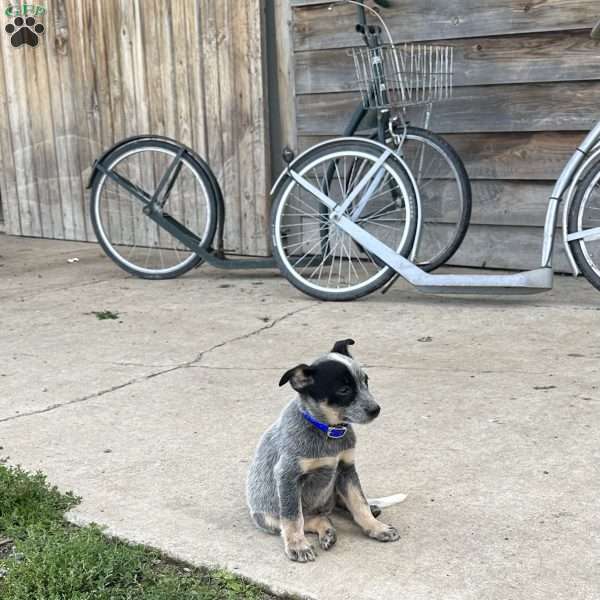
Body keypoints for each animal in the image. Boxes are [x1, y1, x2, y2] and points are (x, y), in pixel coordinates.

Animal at [246, 340, 406, 560]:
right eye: (344, 390)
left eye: (365, 381)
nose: (376, 409)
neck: (329, 432)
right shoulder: (287, 475)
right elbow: (293, 517)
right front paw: (297, 545)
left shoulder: (346, 468)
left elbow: (359, 502)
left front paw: (376, 527)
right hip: (267, 516)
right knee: (310, 519)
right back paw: (325, 530)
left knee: (341, 506)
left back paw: (368, 511)